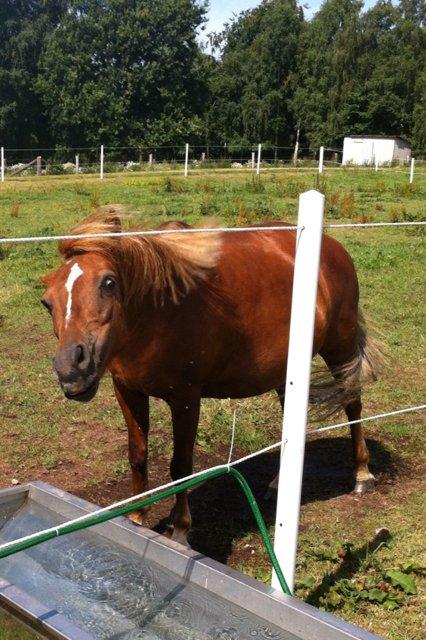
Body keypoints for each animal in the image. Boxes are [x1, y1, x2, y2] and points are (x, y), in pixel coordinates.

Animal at [41, 211, 381, 545]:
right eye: (46, 302)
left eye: (109, 283)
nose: (70, 368)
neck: (159, 313)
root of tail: (334, 248)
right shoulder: (127, 390)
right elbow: (137, 456)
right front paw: (136, 518)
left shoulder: (186, 399)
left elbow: (181, 466)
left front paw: (180, 530)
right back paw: (278, 483)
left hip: (341, 347)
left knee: (353, 402)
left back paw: (362, 474)